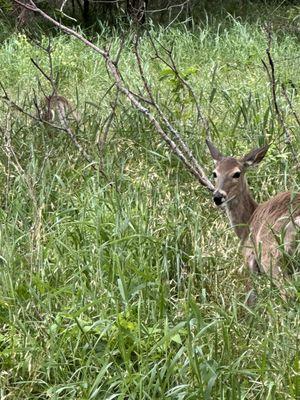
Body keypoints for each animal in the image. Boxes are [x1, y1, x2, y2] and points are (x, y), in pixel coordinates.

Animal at [206, 141, 300, 304]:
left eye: (237, 173)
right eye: (215, 173)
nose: (218, 196)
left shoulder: (250, 258)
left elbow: (252, 296)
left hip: (272, 256)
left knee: (287, 294)